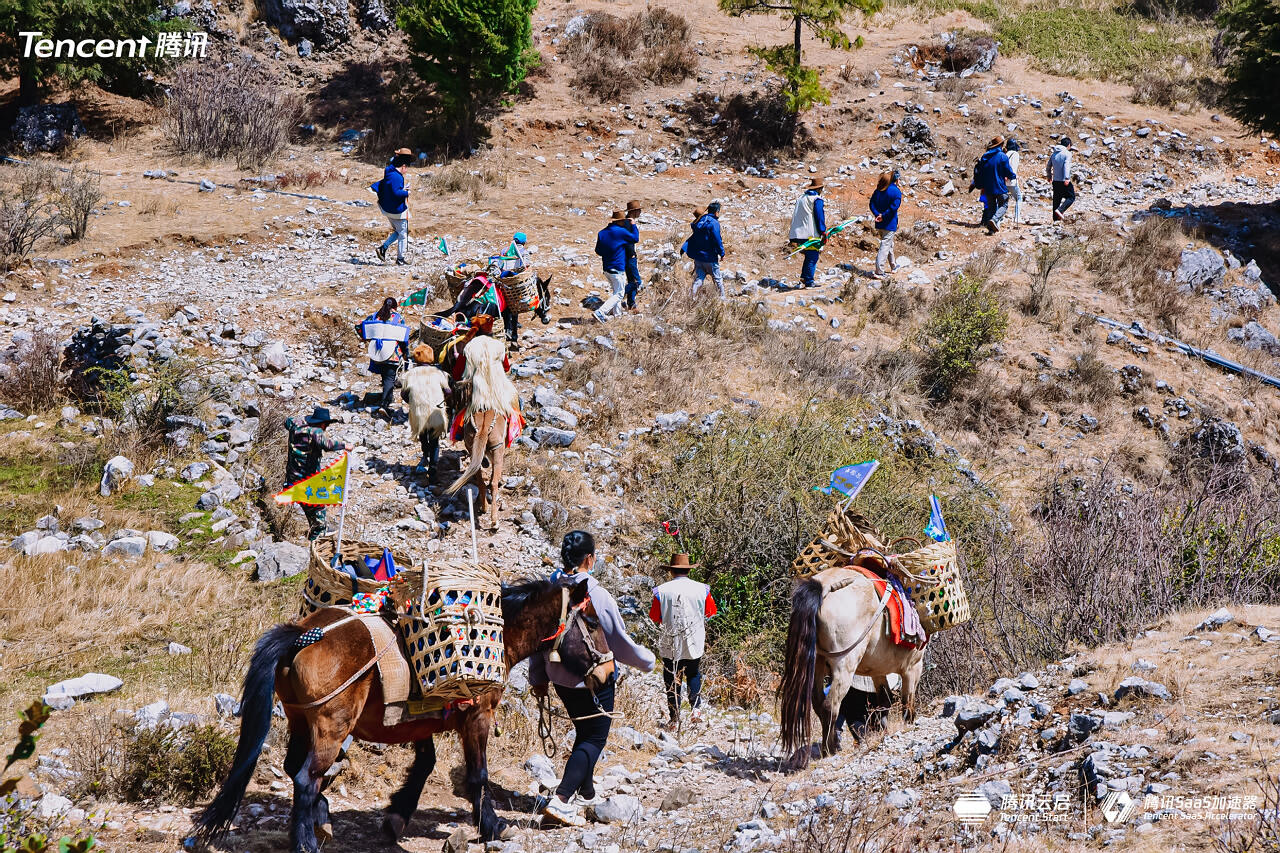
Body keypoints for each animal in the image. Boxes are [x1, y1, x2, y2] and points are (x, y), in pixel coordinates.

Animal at [194, 537, 614, 850]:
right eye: (593, 623)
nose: (608, 672)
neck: (498, 637)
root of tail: (302, 634)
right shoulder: (477, 717)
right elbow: (478, 775)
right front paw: (493, 827)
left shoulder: (420, 719)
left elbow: (425, 764)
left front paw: (396, 817)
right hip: (331, 727)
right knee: (304, 778)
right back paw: (308, 841)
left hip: (299, 718)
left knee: (294, 768)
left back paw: (322, 818)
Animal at [442, 330, 517, 525]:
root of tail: (483, 428)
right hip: (498, 450)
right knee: (492, 482)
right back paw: (494, 520)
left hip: (472, 447)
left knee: (480, 479)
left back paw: (483, 506)